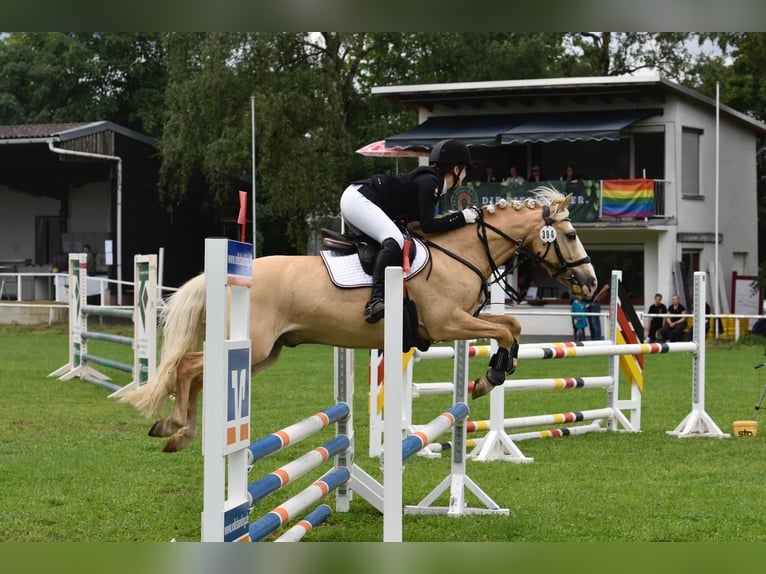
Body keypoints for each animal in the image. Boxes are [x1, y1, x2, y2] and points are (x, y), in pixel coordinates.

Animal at [124, 187, 600, 452]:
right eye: (571, 234)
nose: (591, 283)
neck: (459, 251)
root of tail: (224, 276)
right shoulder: (447, 323)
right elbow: (505, 329)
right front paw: (492, 376)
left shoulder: (458, 322)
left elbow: (512, 330)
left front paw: (490, 376)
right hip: (252, 347)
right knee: (188, 368)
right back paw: (176, 428)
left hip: (266, 352)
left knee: (198, 375)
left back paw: (174, 430)